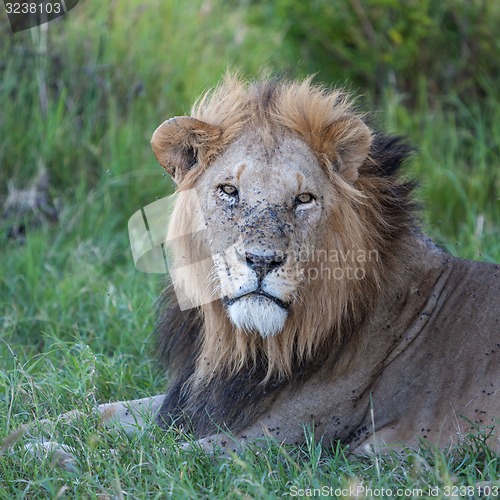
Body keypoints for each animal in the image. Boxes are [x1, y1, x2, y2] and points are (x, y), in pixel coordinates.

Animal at [17, 74, 500, 460]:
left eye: (303, 199)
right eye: (229, 191)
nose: (262, 261)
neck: (241, 344)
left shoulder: (280, 438)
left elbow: (143, 457)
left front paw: (49, 454)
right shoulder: (195, 399)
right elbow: (93, 413)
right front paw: (23, 434)